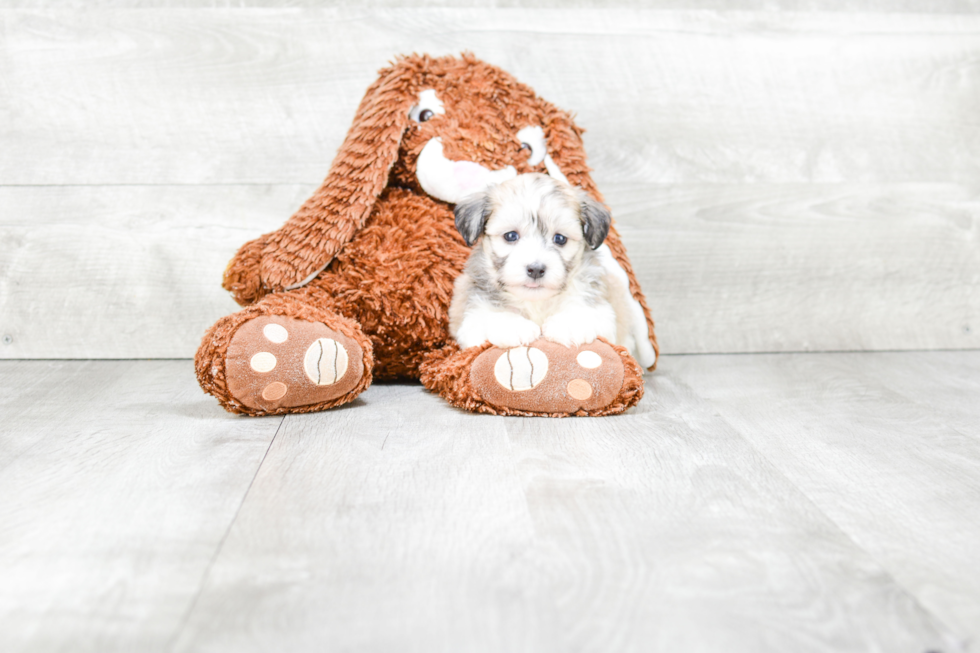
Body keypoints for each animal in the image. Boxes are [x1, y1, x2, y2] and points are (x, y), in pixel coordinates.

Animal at [450, 171, 632, 348]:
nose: (536, 269)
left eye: (560, 238)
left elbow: (586, 311)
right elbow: (489, 316)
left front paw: (569, 324)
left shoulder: (600, 309)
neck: (536, 302)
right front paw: (513, 325)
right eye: (511, 236)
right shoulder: (474, 313)